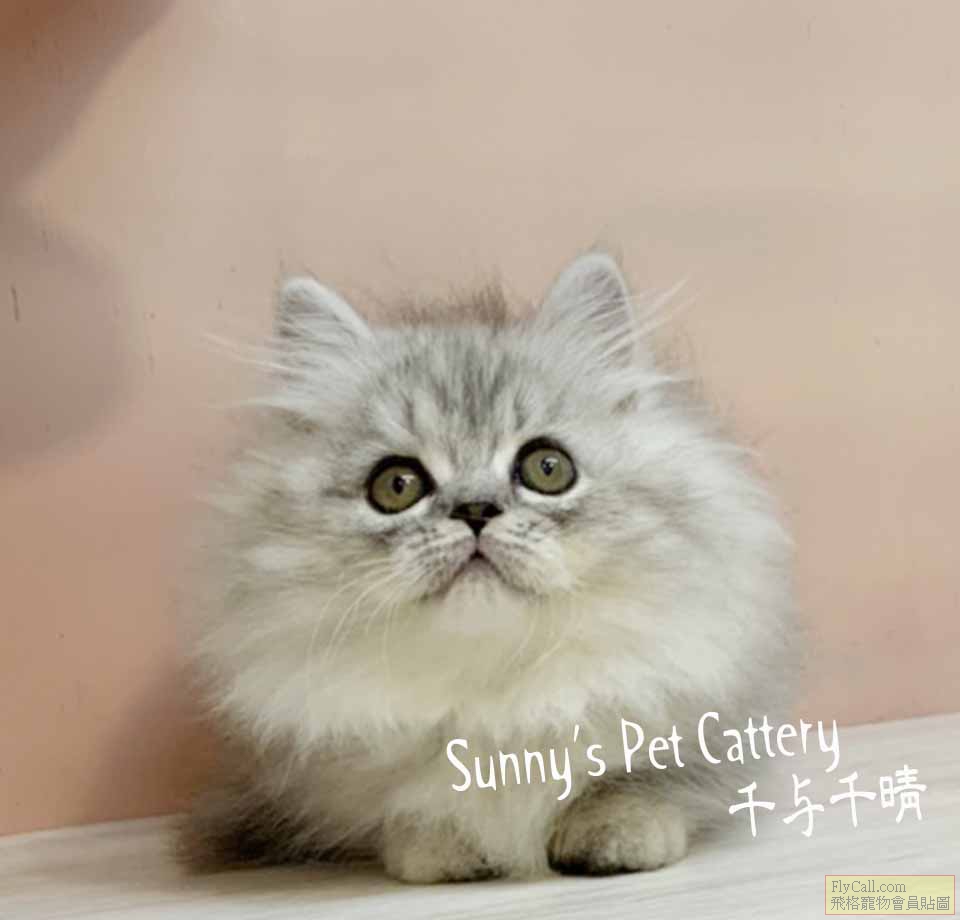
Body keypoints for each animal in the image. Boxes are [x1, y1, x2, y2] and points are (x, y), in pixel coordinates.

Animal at [178, 252, 796, 883]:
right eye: (396, 485)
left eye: (548, 468)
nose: (475, 510)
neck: (494, 687)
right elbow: (414, 815)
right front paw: (446, 847)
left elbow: (639, 785)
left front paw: (616, 835)